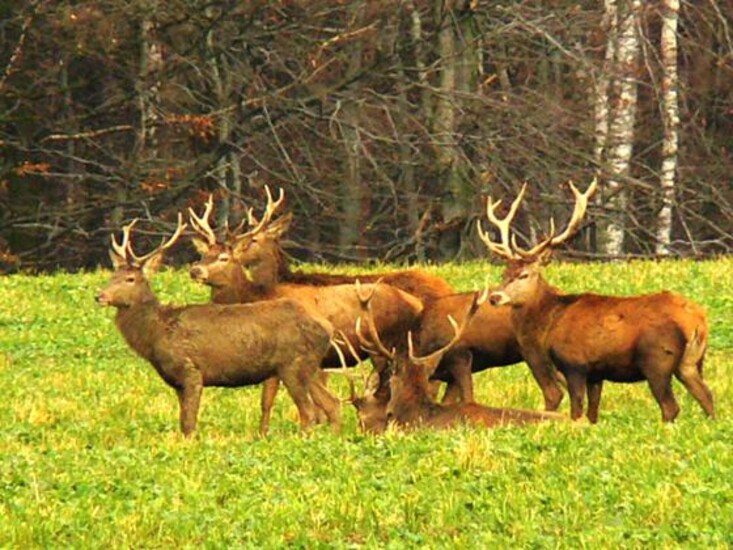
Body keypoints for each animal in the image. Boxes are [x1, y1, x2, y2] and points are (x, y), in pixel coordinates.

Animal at [93, 217, 340, 440]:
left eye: (130, 279)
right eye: (112, 275)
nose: (99, 296)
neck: (157, 333)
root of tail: (326, 327)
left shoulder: (190, 371)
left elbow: (189, 424)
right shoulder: (176, 382)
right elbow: (183, 422)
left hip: (292, 364)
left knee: (308, 411)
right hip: (308, 366)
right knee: (333, 403)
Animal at [186, 196, 420, 438]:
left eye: (224, 257)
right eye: (203, 254)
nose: (195, 270)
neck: (257, 296)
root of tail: (415, 303)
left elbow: (269, 399)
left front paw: (269, 435)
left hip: (383, 345)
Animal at [478, 179, 712, 424]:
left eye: (524, 275)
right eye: (504, 273)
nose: (495, 297)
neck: (552, 320)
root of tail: (697, 320)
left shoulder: (574, 363)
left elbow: (576, 411)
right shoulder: (595, 373)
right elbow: (592, 414)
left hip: (657, 360)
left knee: (670, 407)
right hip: (691, 362)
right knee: (707, 397)